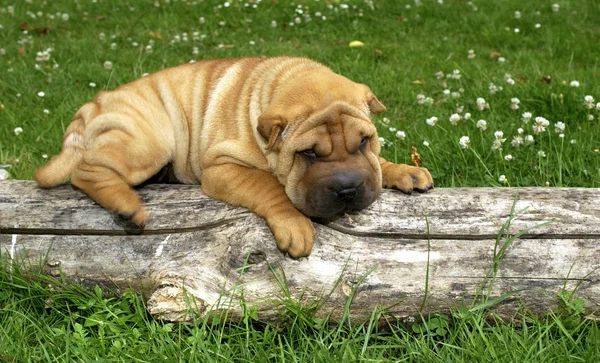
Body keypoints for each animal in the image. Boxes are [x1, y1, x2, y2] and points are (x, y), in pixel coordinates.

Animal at [34, 57, 432, 258]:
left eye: (364, 141)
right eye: (307, 153)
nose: (348, 190)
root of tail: (94, 103)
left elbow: (378, 165)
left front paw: (402, 170)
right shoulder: (222, 167)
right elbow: (269, 186)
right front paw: (294, 225)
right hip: (151, 139)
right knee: (87, 171)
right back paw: (126, 205)